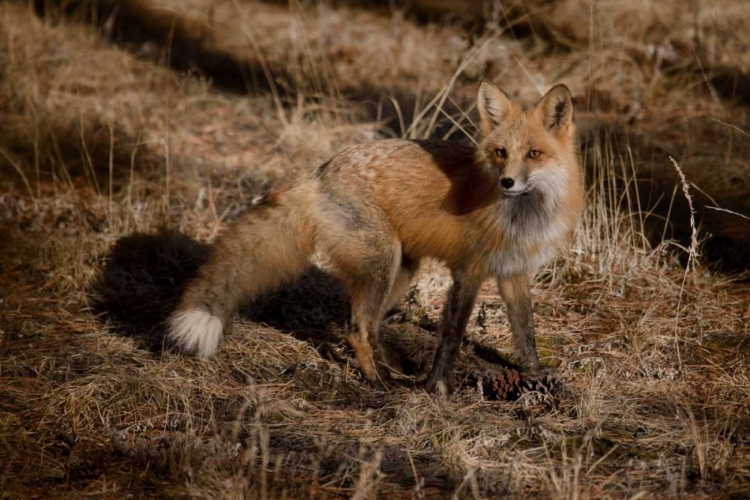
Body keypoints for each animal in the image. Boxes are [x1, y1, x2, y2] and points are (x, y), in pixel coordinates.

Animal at [170, 81, 588, 394]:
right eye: (501, 152)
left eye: (534, 154)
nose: (507, 182)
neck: (523, 215)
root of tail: (320, 172)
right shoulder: (468, 272)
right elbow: (452, 335)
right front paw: (437, 388)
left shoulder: (513, 273)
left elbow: (526, 332)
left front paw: (534, 375)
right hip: (382, 264)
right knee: (357, 329)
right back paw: (377, 383)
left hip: (399, 271)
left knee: (367, 325)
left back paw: (392, 367)